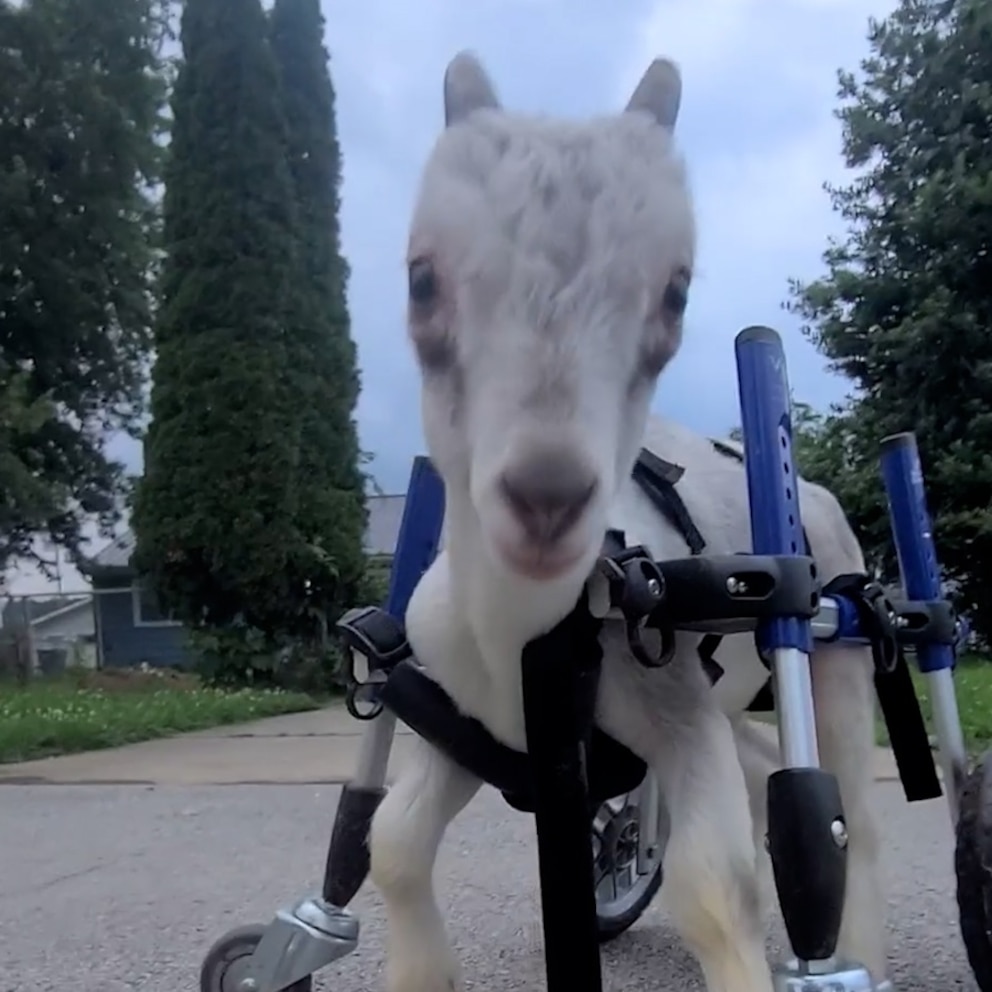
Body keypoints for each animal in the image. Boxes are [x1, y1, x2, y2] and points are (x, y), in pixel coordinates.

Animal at [370, 52, 884, 992]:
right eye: (421, 278)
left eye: (675, 294)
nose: (545, 498)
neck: (533, 640)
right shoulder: (465, 726)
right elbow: (393, 841)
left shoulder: (675, 710)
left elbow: (716, 888)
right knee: (767, 771)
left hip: (839, 639)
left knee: (855, 820)